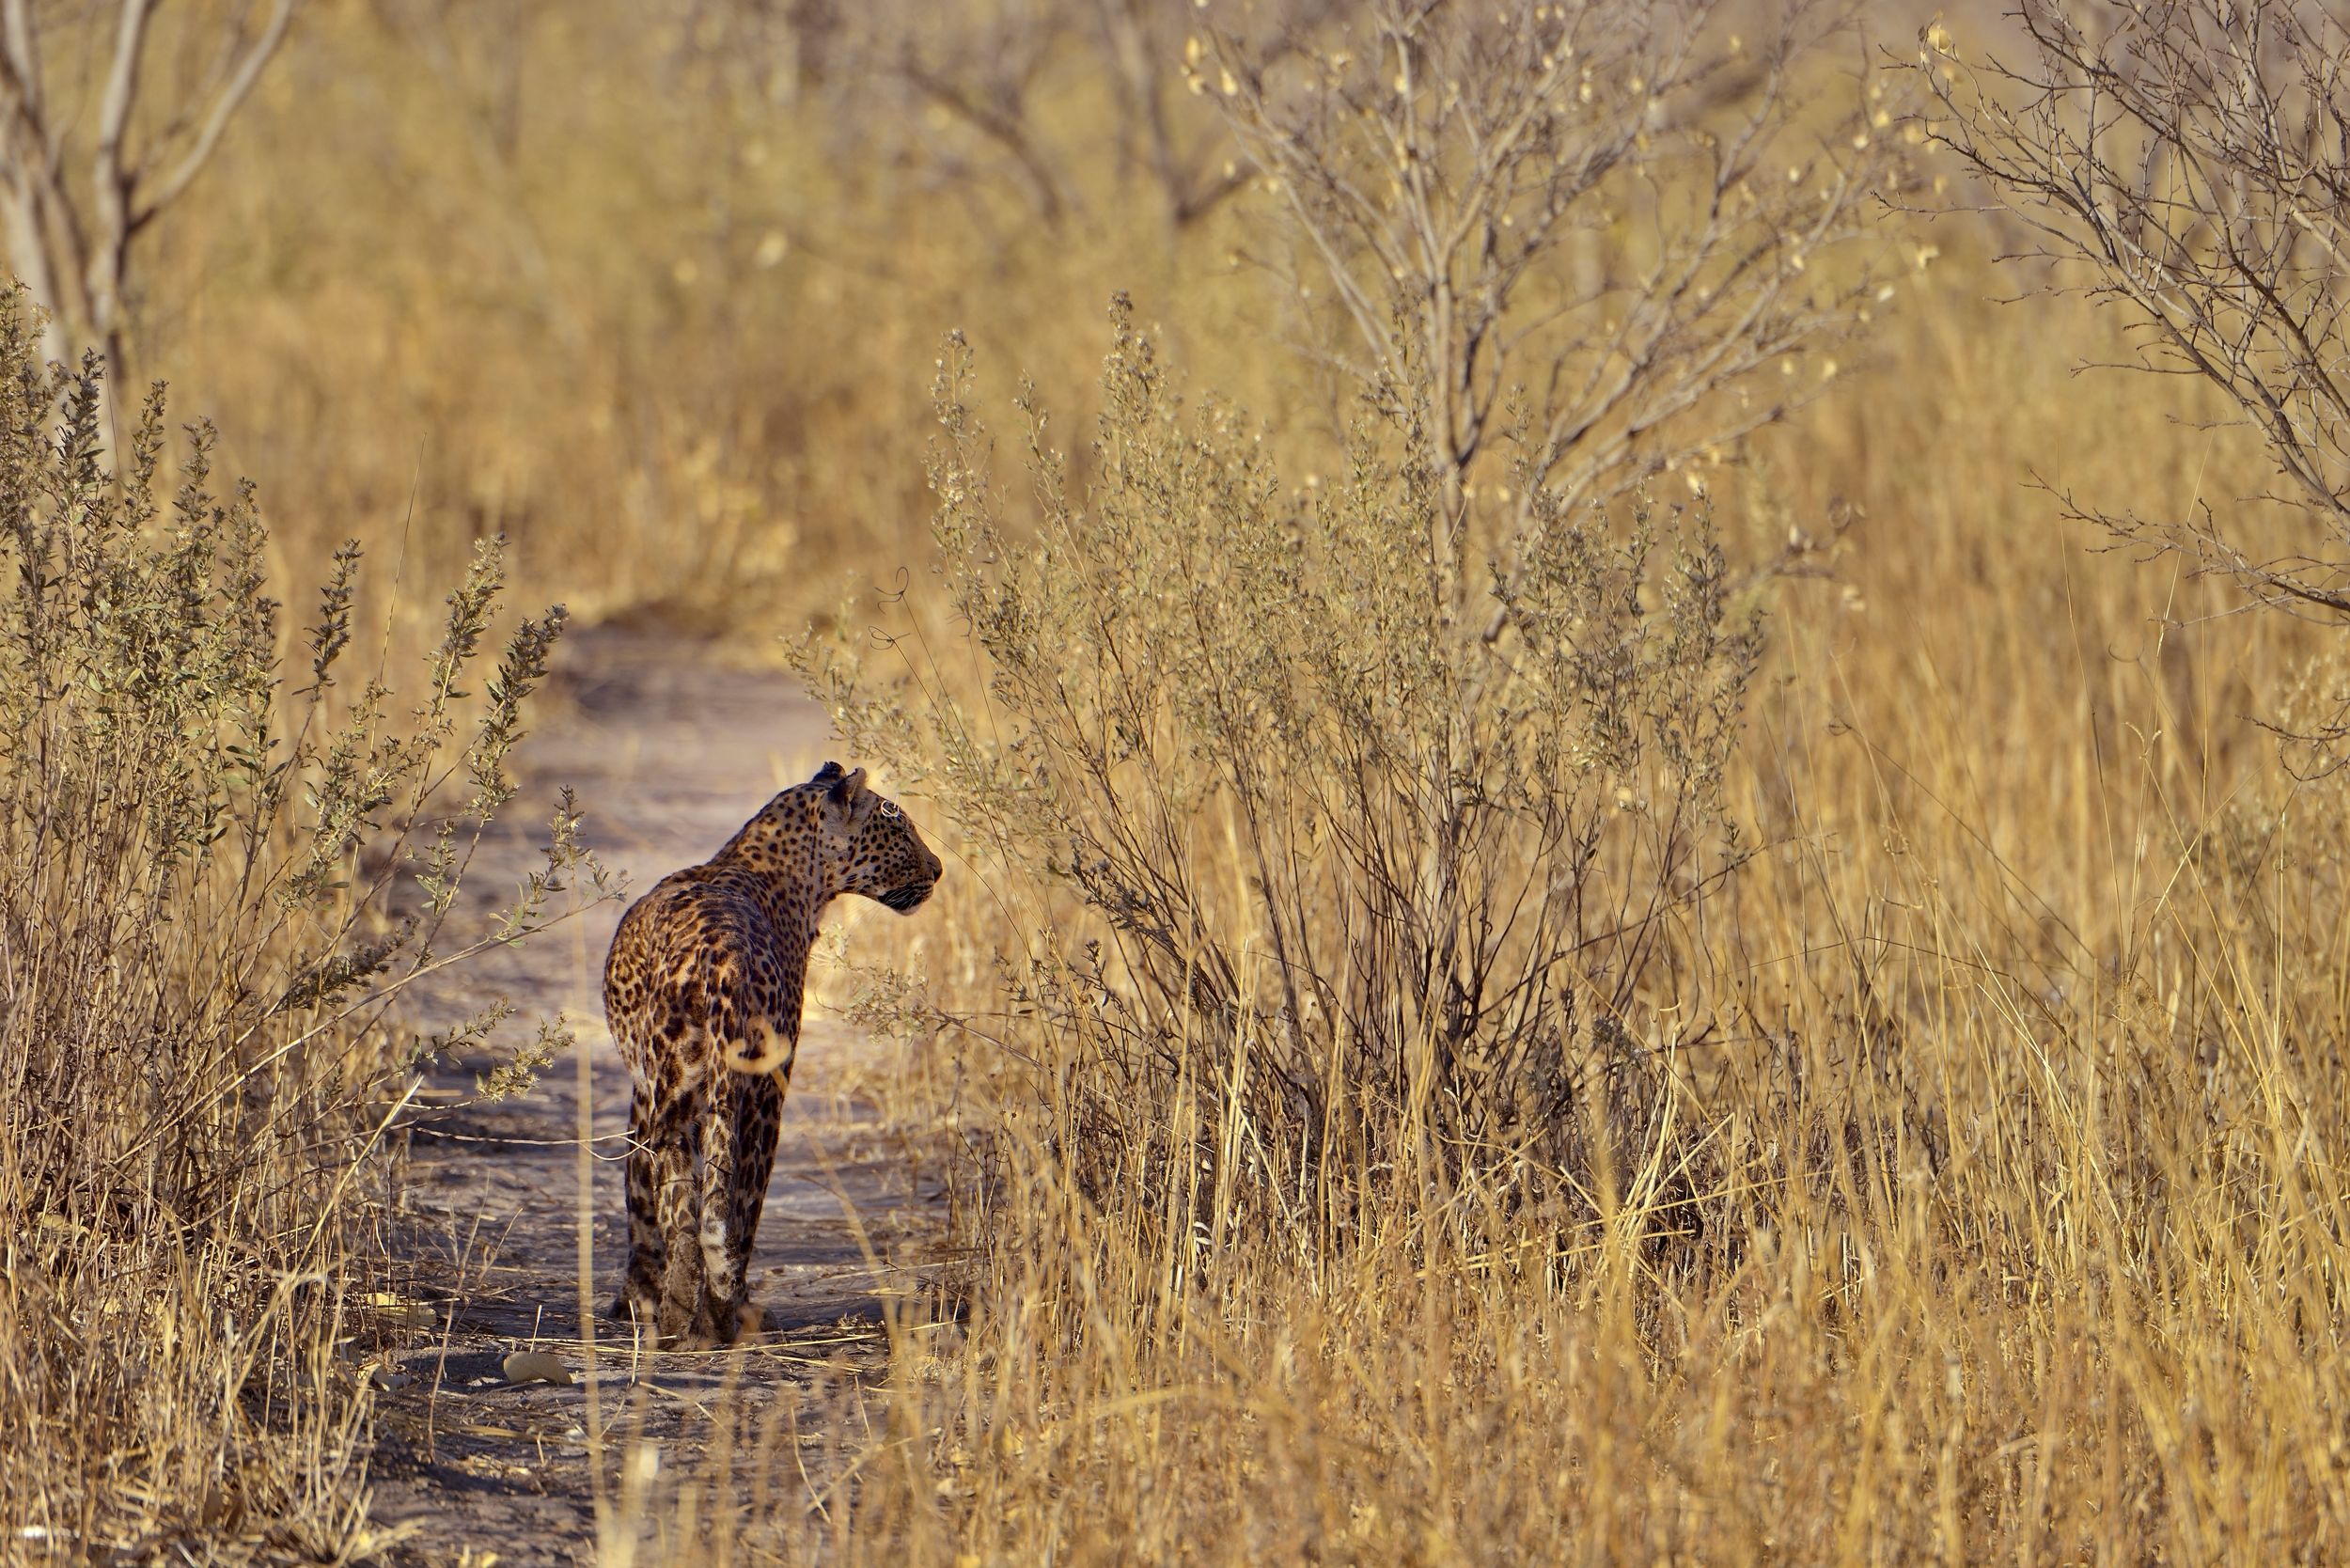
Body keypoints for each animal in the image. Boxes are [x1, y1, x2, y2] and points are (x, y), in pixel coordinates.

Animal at [600, 760, 942, 1348]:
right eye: (900, 830)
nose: (939, 869)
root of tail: (719, 958)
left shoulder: (643, 1090)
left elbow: (641, 1196)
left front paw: (636, 1299)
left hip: (679, 1087)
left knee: (682, 1207)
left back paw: (678, 1319)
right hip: (757, 1093)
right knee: (731, 1206)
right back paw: (724, 1315)